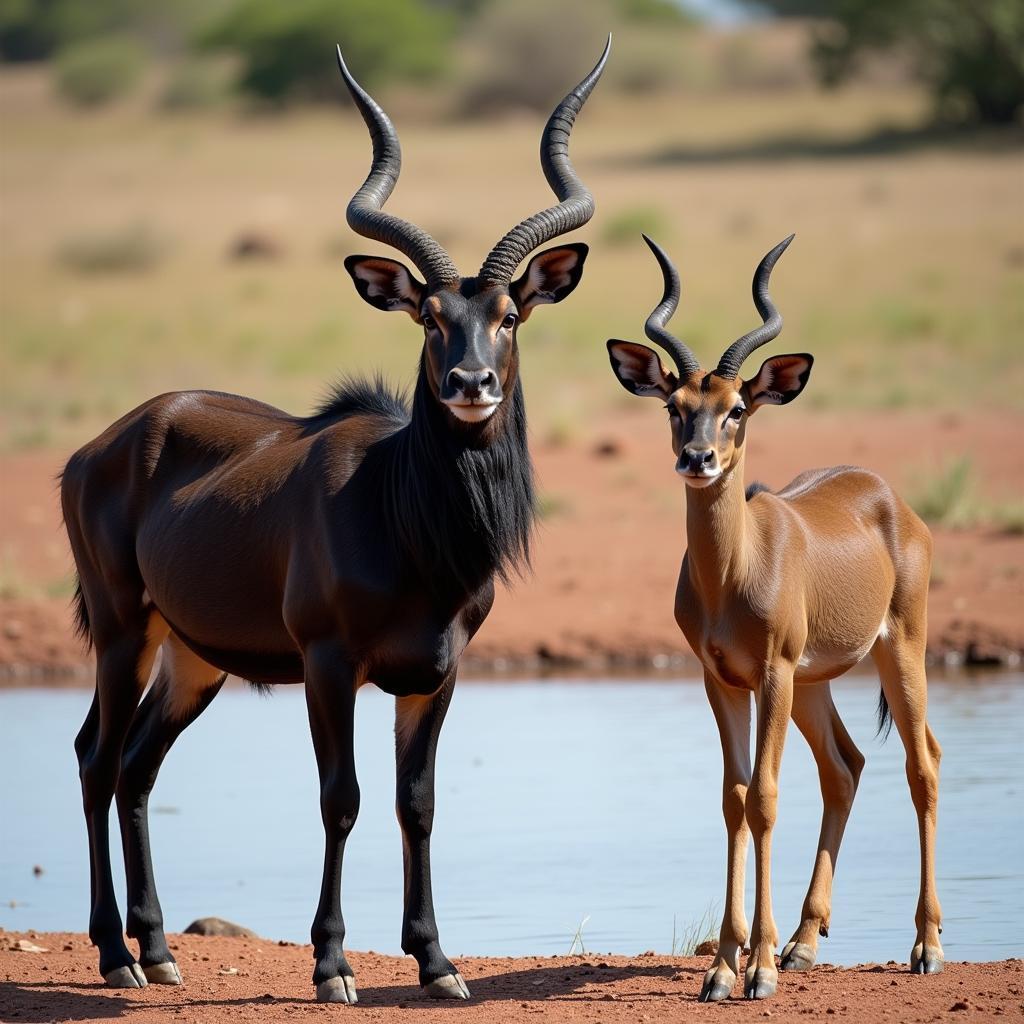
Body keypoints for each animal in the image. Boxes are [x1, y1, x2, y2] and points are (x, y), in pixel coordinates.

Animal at [61, 37, 606, 999]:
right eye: (429, 315)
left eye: (509, 314)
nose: (471, 384)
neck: (409, 524)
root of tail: (104, 445)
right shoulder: (328, 665)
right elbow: (341, 800)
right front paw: (331, 966)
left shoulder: (435, 674)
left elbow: (416, 803)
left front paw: (437, 964)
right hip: (125, 632)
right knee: (96, 758)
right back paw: (117, 957)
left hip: (191, 659)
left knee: (134, 766)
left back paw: (158, 950)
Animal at [606, 234, 942, 999]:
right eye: (674, 405)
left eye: (737, 407)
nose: (698, 458)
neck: (736, 570)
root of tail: (887, 496)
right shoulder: (722, 679)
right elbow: (733, 798)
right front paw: (724, 969)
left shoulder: (771, 673)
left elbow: (762, 796)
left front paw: (754, 970)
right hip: (816, 682)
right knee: (846, 767)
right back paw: (804, 944)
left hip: (896, 653)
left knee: (923, 766)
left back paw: (926, 947)